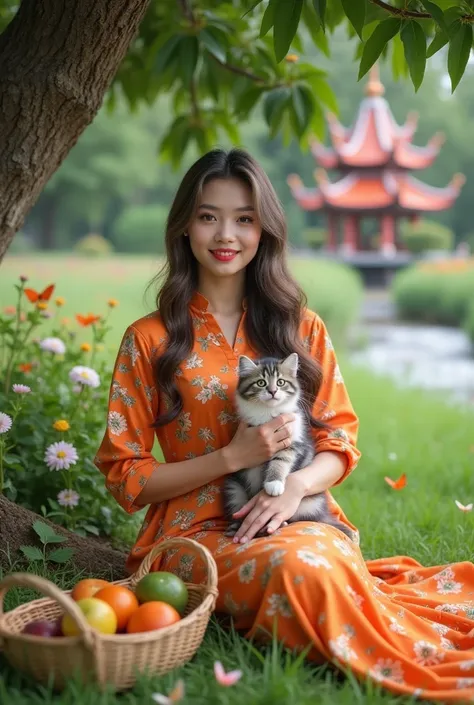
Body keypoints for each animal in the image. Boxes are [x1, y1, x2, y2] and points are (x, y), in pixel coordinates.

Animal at [224, 352, 354, 540]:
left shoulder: (293, 442)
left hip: (309, 504)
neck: (269, 413)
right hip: (233, 489)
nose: (272, 391)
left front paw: (273, 483)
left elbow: (280, 461)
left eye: (280, 382)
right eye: (261, 383)